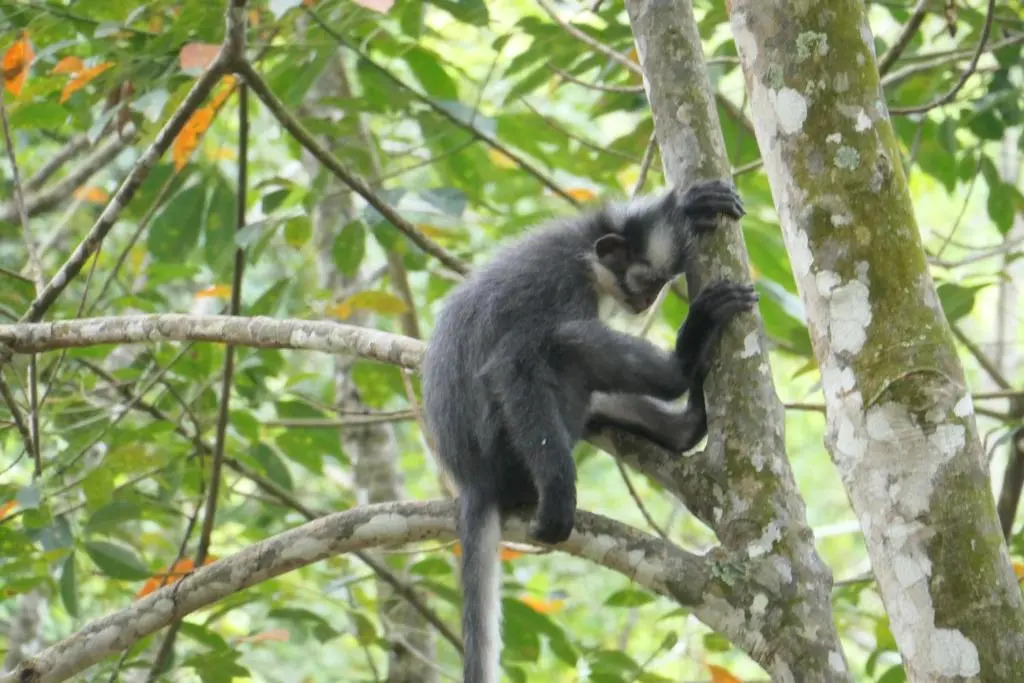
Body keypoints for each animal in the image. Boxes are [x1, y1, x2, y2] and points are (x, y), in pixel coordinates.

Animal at [421, 179, 757, 683]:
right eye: (647, 283)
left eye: (659, 286)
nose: (645, 303)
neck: (584, 253)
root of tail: (473, 479)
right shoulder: (561, 286)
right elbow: (514, 367)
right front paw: (560, 494)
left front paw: (689, 202)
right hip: (506, 452)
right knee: (564, 345)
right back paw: (682, 362)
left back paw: (683, 428)